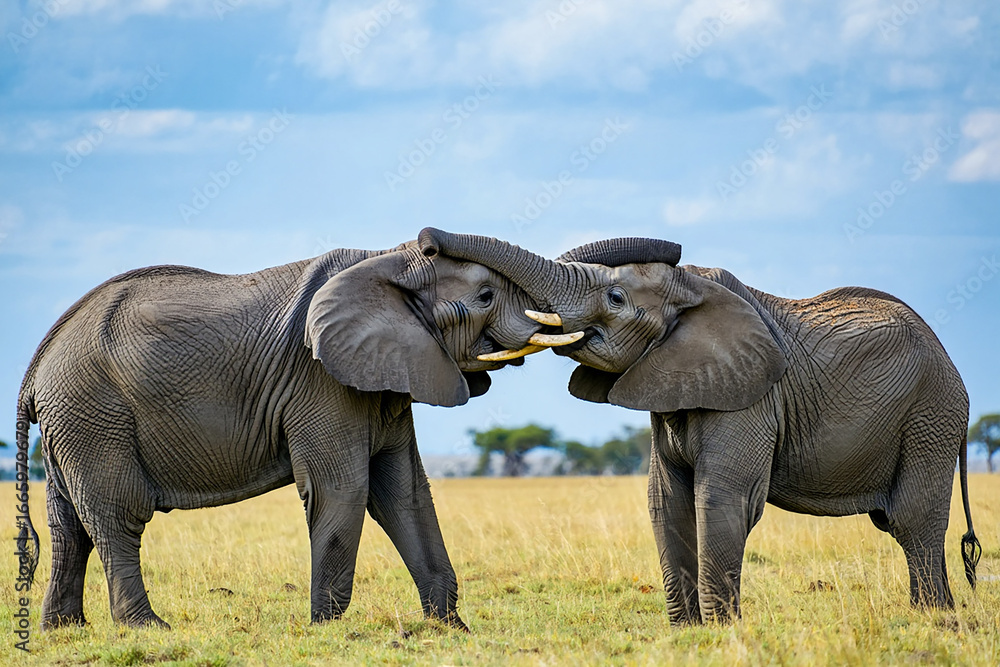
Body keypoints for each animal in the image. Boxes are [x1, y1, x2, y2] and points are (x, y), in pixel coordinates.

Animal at [16, 237, 581, 630]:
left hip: (73, 422)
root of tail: (37, 364)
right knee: (118, 516)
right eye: (485, 296)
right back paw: (148, 629)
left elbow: (405, 493)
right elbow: (344, 490)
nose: (430, 236)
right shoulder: (321, 383)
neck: (386, 261)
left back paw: (63, 631)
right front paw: (325, 630)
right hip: (94, 414)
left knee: (70, 526)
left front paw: (451, 629)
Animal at [416, 228, 982, 624]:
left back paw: (934, 619)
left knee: (910, 518)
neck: (695, 289)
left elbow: (721, 496)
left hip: (931, 415)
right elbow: (665, 498)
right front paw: (688, 631)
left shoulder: (751, 396)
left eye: (616, 299)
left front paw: (722, 630)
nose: (426, 241)